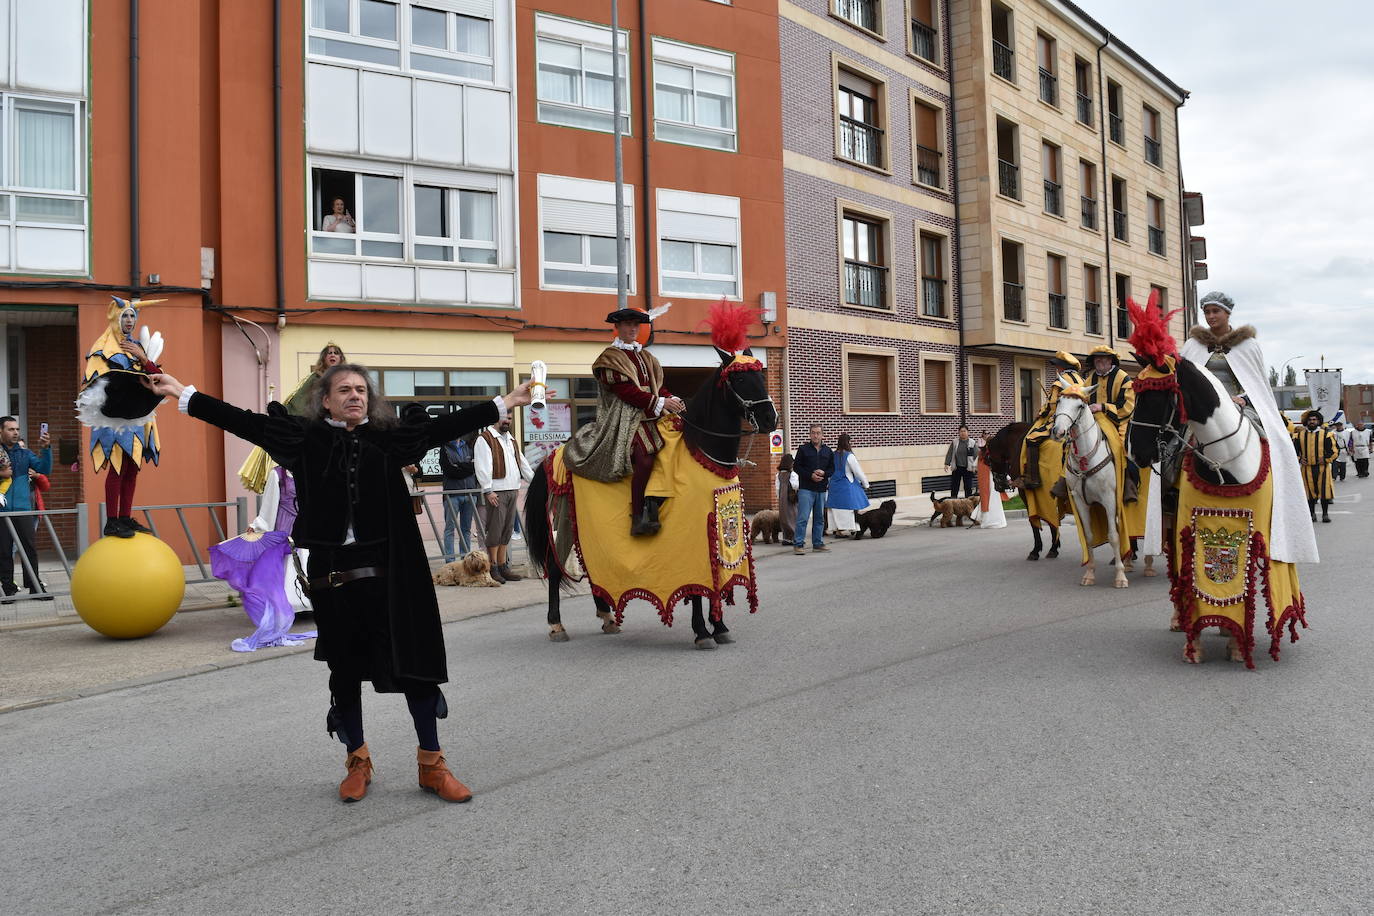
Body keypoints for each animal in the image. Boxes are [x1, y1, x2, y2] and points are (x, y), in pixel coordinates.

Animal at [983, 420, 1066, 560]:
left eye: (988, 460)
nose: (998, 485)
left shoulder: (1026, 493)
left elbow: (1035, 520)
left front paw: (1038, 550)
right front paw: (1054, 546)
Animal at [1049, 390, 1126, 590]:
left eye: (1080, 406)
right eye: (1059, 401)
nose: (1058, 431)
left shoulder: (1109, 499)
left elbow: (1114, 536)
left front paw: (1120, 576)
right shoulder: (1081, 501)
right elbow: (1089, 536)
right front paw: (1090, 573)